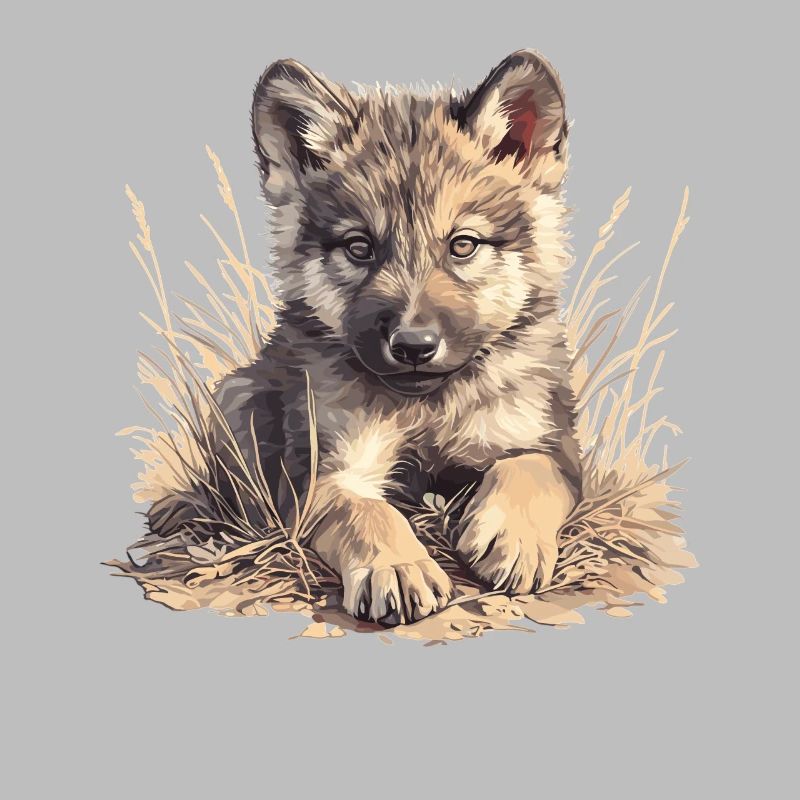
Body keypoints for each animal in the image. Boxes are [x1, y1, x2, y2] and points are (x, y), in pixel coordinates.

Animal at [149, 49, 582, 625]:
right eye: (359, 247)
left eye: (463, 245)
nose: (414, 346)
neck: (426, 408)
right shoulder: (323, 470)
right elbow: (364, 511)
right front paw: (395, 566)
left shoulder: (550, 444)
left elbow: (529, 470)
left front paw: (512, 537)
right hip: (235, 395)